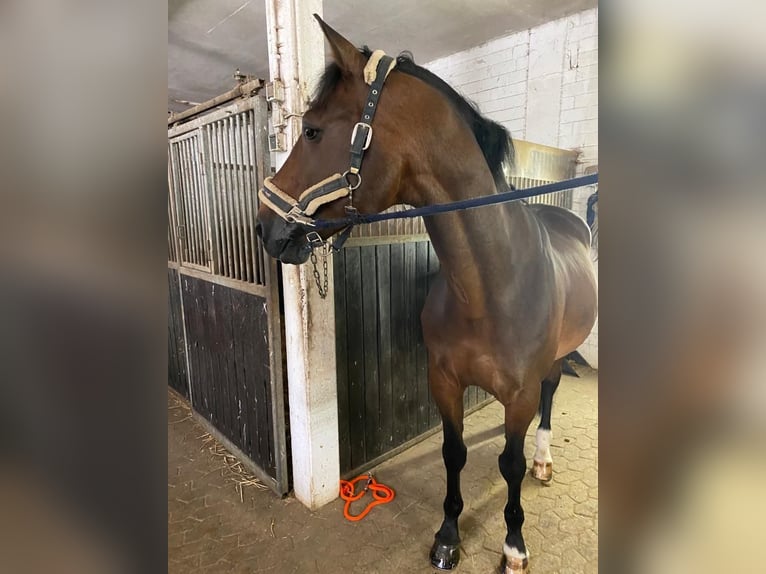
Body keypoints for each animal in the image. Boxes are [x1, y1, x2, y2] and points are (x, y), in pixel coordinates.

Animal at [256, 16, 597, 573]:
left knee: (550, 395)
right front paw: (447, 537)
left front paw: (514, 545)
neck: (488, 288)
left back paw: (545, 460)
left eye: (312, 130)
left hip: (552, 365)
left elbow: (510, 463)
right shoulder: (444, 381)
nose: (265, 228)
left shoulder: (519, 394)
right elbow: (453, 453)